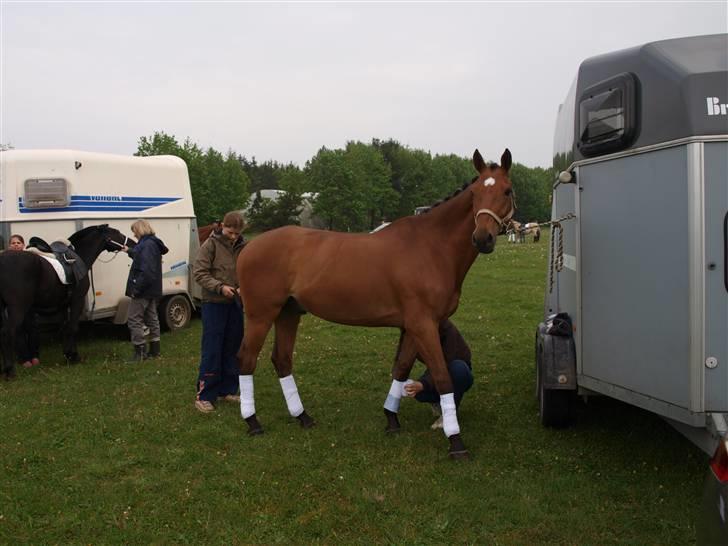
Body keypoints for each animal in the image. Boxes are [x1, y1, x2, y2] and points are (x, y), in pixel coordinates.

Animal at [236, 148, 516, 454]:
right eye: (475, 193)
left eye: (507, 190)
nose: (482, 238)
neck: (431, 247)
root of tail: (249, 246)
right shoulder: (423, 325)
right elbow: (443, 379)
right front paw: (456, 442)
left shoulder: (413, 327)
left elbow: (401, 369)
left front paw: (391, 420)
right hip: (261, 315)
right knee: (246, 359)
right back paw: (252, 422)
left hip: (288, 313)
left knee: (282, 360)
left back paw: (303, 417)